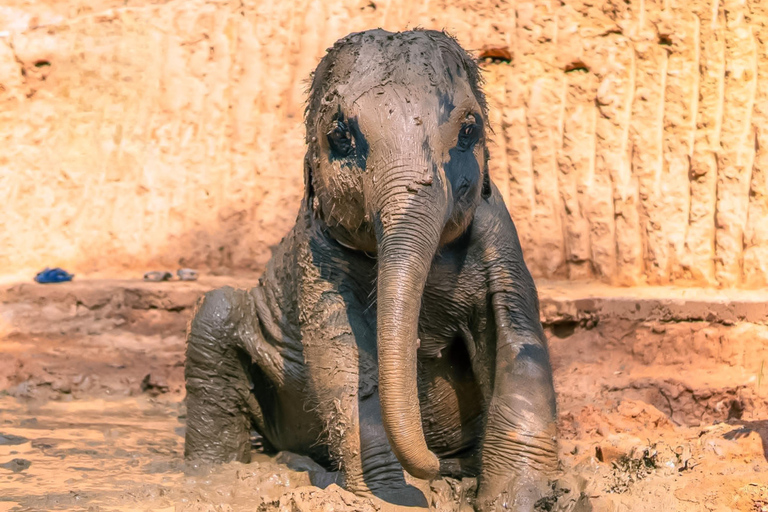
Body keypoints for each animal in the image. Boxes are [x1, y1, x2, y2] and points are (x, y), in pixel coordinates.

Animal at [184, 29, 559, 511]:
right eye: (340, 136)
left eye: (469, 130)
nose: (436, 466)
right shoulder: (317, 252)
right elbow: (342, 354)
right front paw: (392, 496)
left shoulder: (499, 236)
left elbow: (519, 341)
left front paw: (522, 497)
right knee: (216, 314)